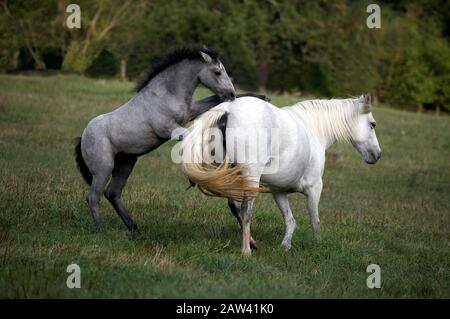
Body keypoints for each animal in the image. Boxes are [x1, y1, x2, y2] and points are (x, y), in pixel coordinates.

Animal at [73, 47, 262, 232]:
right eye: (217, 72)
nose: (231, 93)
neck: (165, 95)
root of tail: (83, 137)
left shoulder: (192, 111)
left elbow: (213, 101)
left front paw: (259, 97)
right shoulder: (170, 129)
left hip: (125, 164)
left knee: (112, 193)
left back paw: (134, 228)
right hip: (103, 169)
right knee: (93, 197)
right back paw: (101, 229)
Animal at [178, 94, 382, 256]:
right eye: (372, 125)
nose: (377, 155)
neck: (312, 129)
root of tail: (228, 109)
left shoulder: (279, 192)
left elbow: (290, 220)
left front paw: (285, 245)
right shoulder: (315, 188)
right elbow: (314, 220)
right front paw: (318, 245)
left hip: (230, 175)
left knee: (235, 207)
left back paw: (253, 243)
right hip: (250, 177)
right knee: (246, 211)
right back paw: (246, 251)